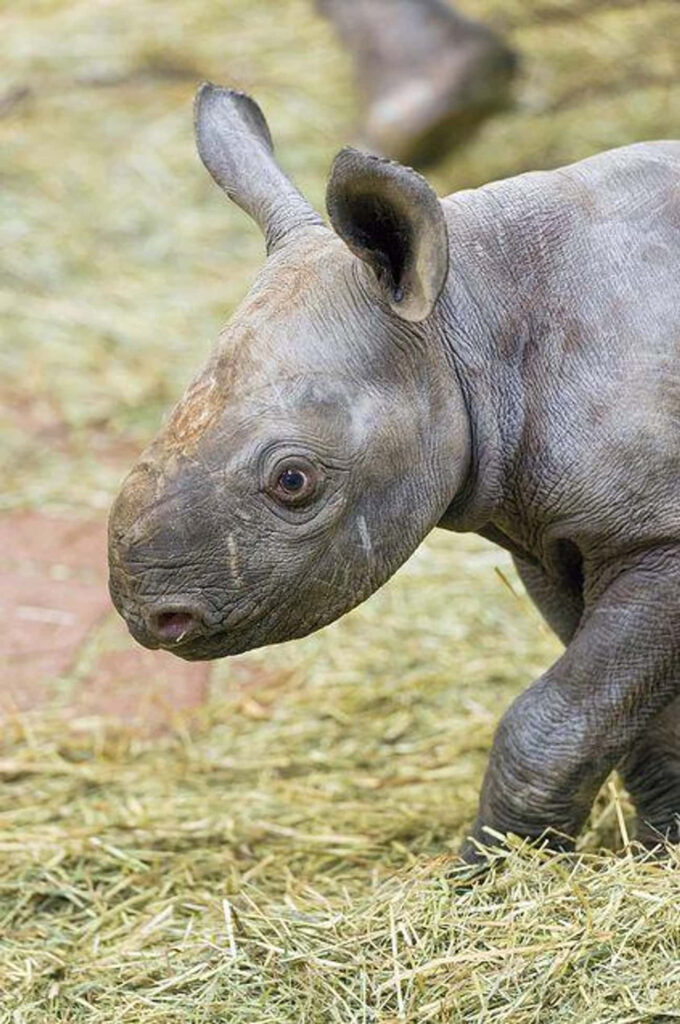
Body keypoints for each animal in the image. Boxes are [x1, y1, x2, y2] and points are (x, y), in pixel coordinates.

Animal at [109, 83, 680, 861]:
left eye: (293, 482)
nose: (150, 618)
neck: (470, 318)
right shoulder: (552, 532)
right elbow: (626, 715)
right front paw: (660, 847)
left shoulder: (658, 535)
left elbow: (558, 718)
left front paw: (483, 875)